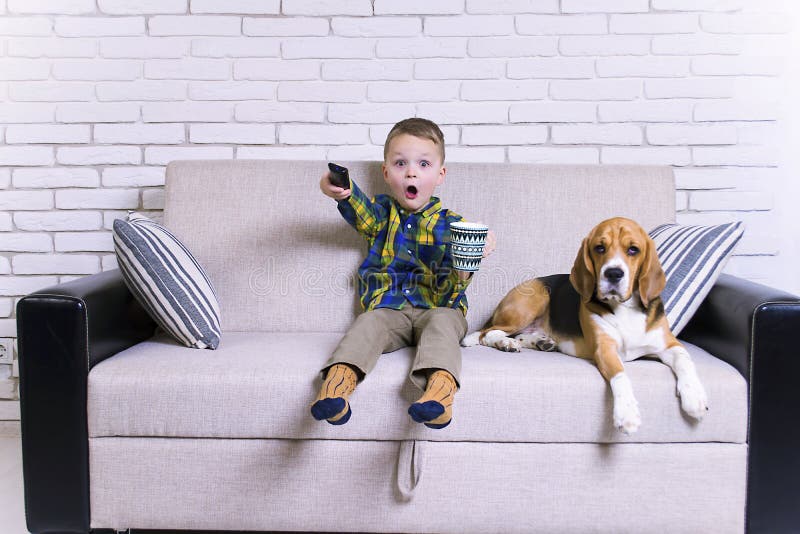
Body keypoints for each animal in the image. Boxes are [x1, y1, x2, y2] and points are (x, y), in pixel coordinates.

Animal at [462, 218, 708, 436]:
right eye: (599, 248)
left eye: (633, 250)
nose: (613, 273)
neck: (625, 307)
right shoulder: (605, 349)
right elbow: (620, 374)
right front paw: (627, 415)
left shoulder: (669, 344)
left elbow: (685, 360)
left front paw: (695, 397)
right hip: (533, 300)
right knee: (487, 333)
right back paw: (506, 343)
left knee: (520, 335)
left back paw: (540, 342)